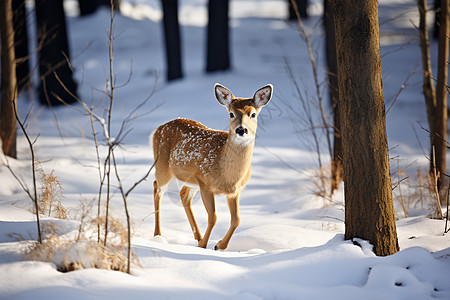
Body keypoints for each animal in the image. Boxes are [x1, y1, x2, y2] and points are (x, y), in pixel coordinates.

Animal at [152, 83, 270, 250]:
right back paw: (158, 235)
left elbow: (236, 219)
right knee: (157, 189)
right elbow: (213, 217)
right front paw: (204, 246)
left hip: (191, 180)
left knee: (183, 195)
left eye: (253, 114)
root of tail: (159, 128)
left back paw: (197, 236)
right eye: (231, 114)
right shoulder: (206, 184)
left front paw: (219, 245)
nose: (241, 130)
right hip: (162, 166)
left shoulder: (234, 191)